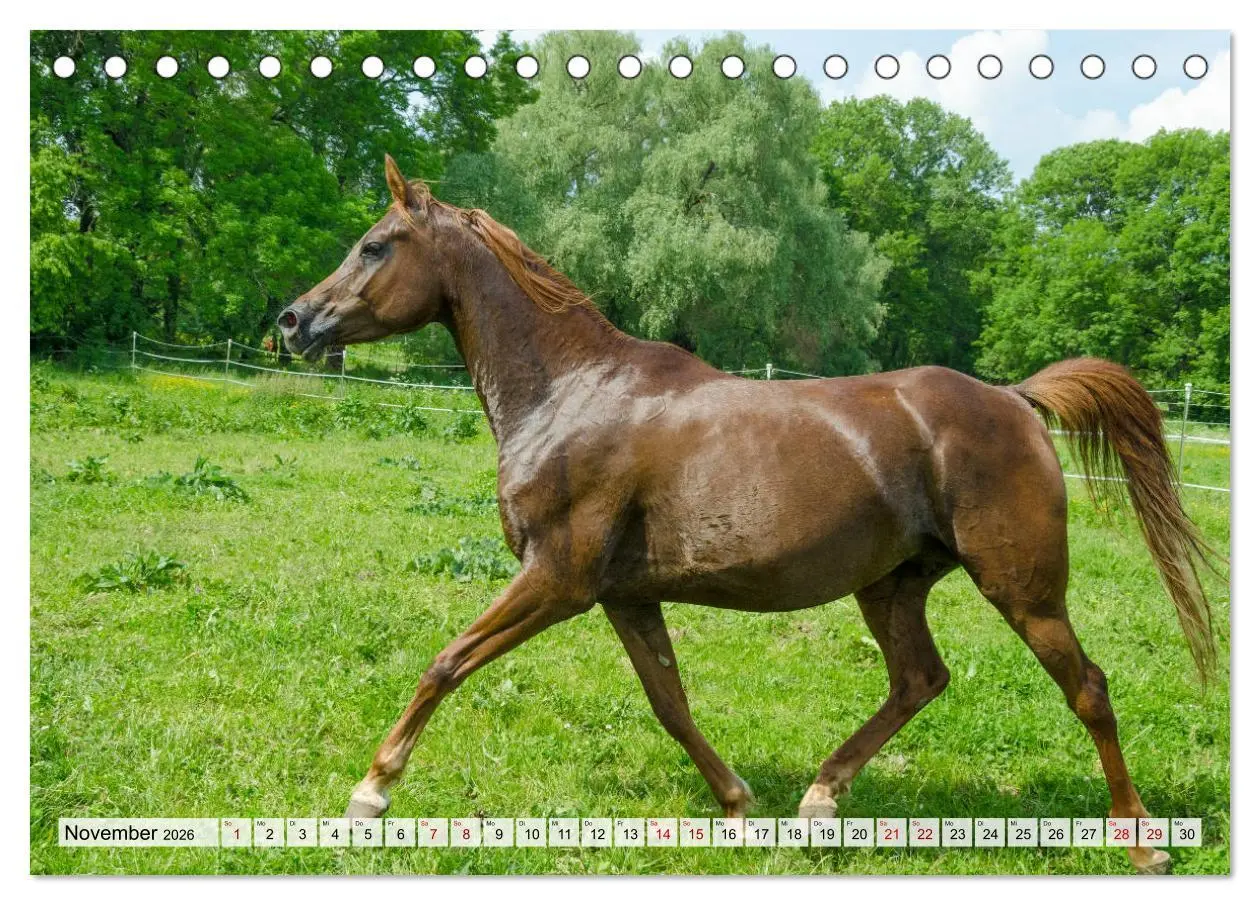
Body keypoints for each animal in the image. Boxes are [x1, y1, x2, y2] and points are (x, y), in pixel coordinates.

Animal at [278, 156, 1219, 873]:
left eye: (374, 245)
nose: (292, 320)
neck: (571, 392)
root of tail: (1017, 401)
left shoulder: (558, 578)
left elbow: (446, 662)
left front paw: (371, 791)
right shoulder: (626, 595)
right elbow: (669, 700)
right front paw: (737, 802)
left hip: (1023, 588)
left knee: (1087, 688)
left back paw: (1142, 840)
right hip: (893, 585)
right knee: (920, 679)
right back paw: (819, 801)